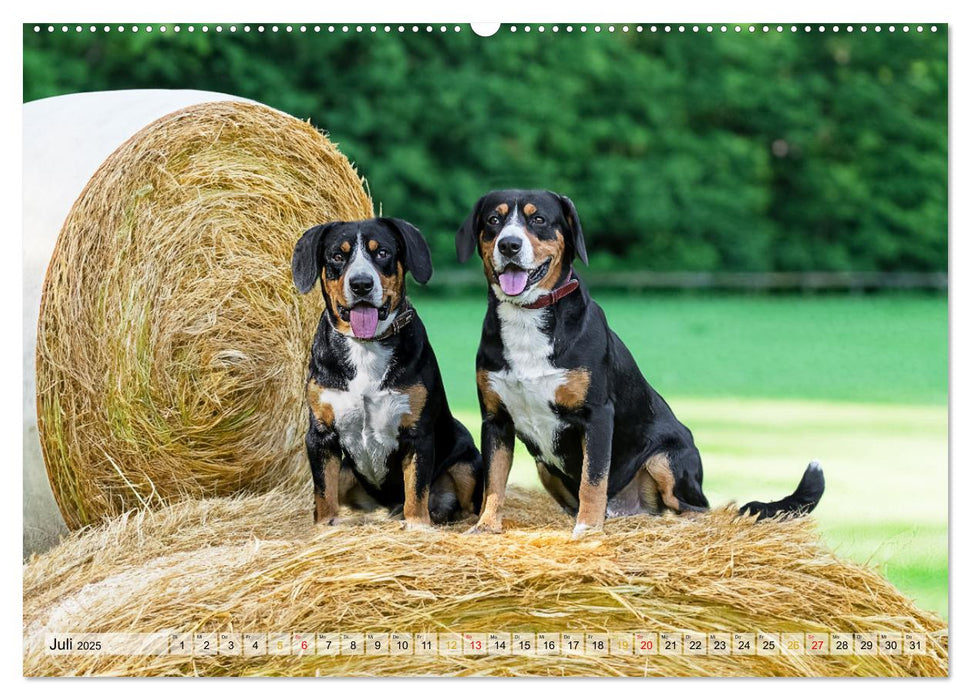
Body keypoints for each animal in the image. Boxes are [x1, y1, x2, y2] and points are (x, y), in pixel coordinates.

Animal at [292, 216, 482, 528]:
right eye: (337, 256)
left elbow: (416, 490)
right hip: (346, 472)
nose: (361, 284)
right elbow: (323, 492)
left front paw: (418, 526)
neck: (365, 347)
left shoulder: (418, 434)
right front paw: (325, 526)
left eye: (381, 252)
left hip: (466, 459)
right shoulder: (320, 435)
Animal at [460, 189, 824, 540]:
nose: (509, 244)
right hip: (544, 468)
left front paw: (587, 530)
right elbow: (494, 481)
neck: (527, 318)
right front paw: (485, 527)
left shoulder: (597, 415)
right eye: (494, 220)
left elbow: (594, 480)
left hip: (667, 459)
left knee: (696, 510)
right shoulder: (495, 419)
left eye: (538, 219)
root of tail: (627, 510)